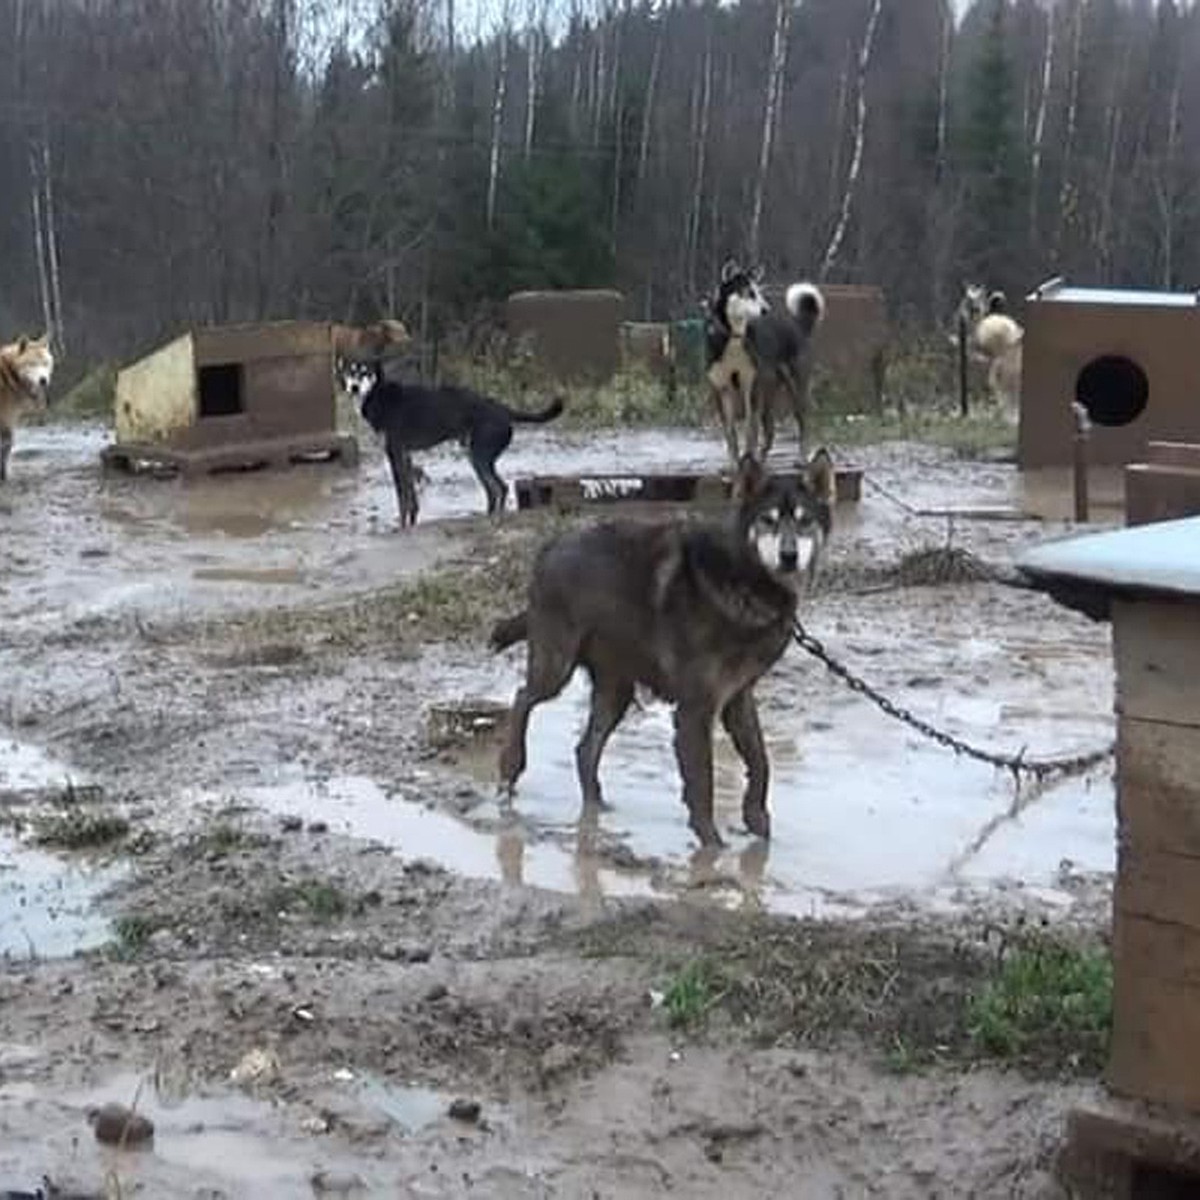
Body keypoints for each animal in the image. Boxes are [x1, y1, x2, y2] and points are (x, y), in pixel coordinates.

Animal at [0, 333, 55, 482]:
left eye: (45, 363)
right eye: (32, 364)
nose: (43, 380)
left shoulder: (8, 419)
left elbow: (7, 444)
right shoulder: (6, 417)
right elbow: (7, 445)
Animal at [336, 360, 564, 530]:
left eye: (365, 373)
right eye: (350, 372)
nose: (354, 388)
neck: (378, 394)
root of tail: (502, 409)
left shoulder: (394, 454)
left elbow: (402, 496)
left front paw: (401, 526)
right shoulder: (405, 456)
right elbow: (411, 496)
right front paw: (411, 520)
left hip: (480, 457)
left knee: (499, 488)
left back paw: (494, 519)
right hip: (476, 458)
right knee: (494, 490)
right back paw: (488, 517)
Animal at [487, 451, 835, 854]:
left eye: (805, 521)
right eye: (768, 521)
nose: (788, 556)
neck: (745, 581)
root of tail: (548, 549)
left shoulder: (738, 699)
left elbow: (761, 761)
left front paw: (757, 823)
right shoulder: (695, 709)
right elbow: (703, 784)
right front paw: (711, 848)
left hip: (616, 691)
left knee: (585, 749)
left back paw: (597, 807)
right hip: (555, 665)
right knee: (523, 698)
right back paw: (510, 767)